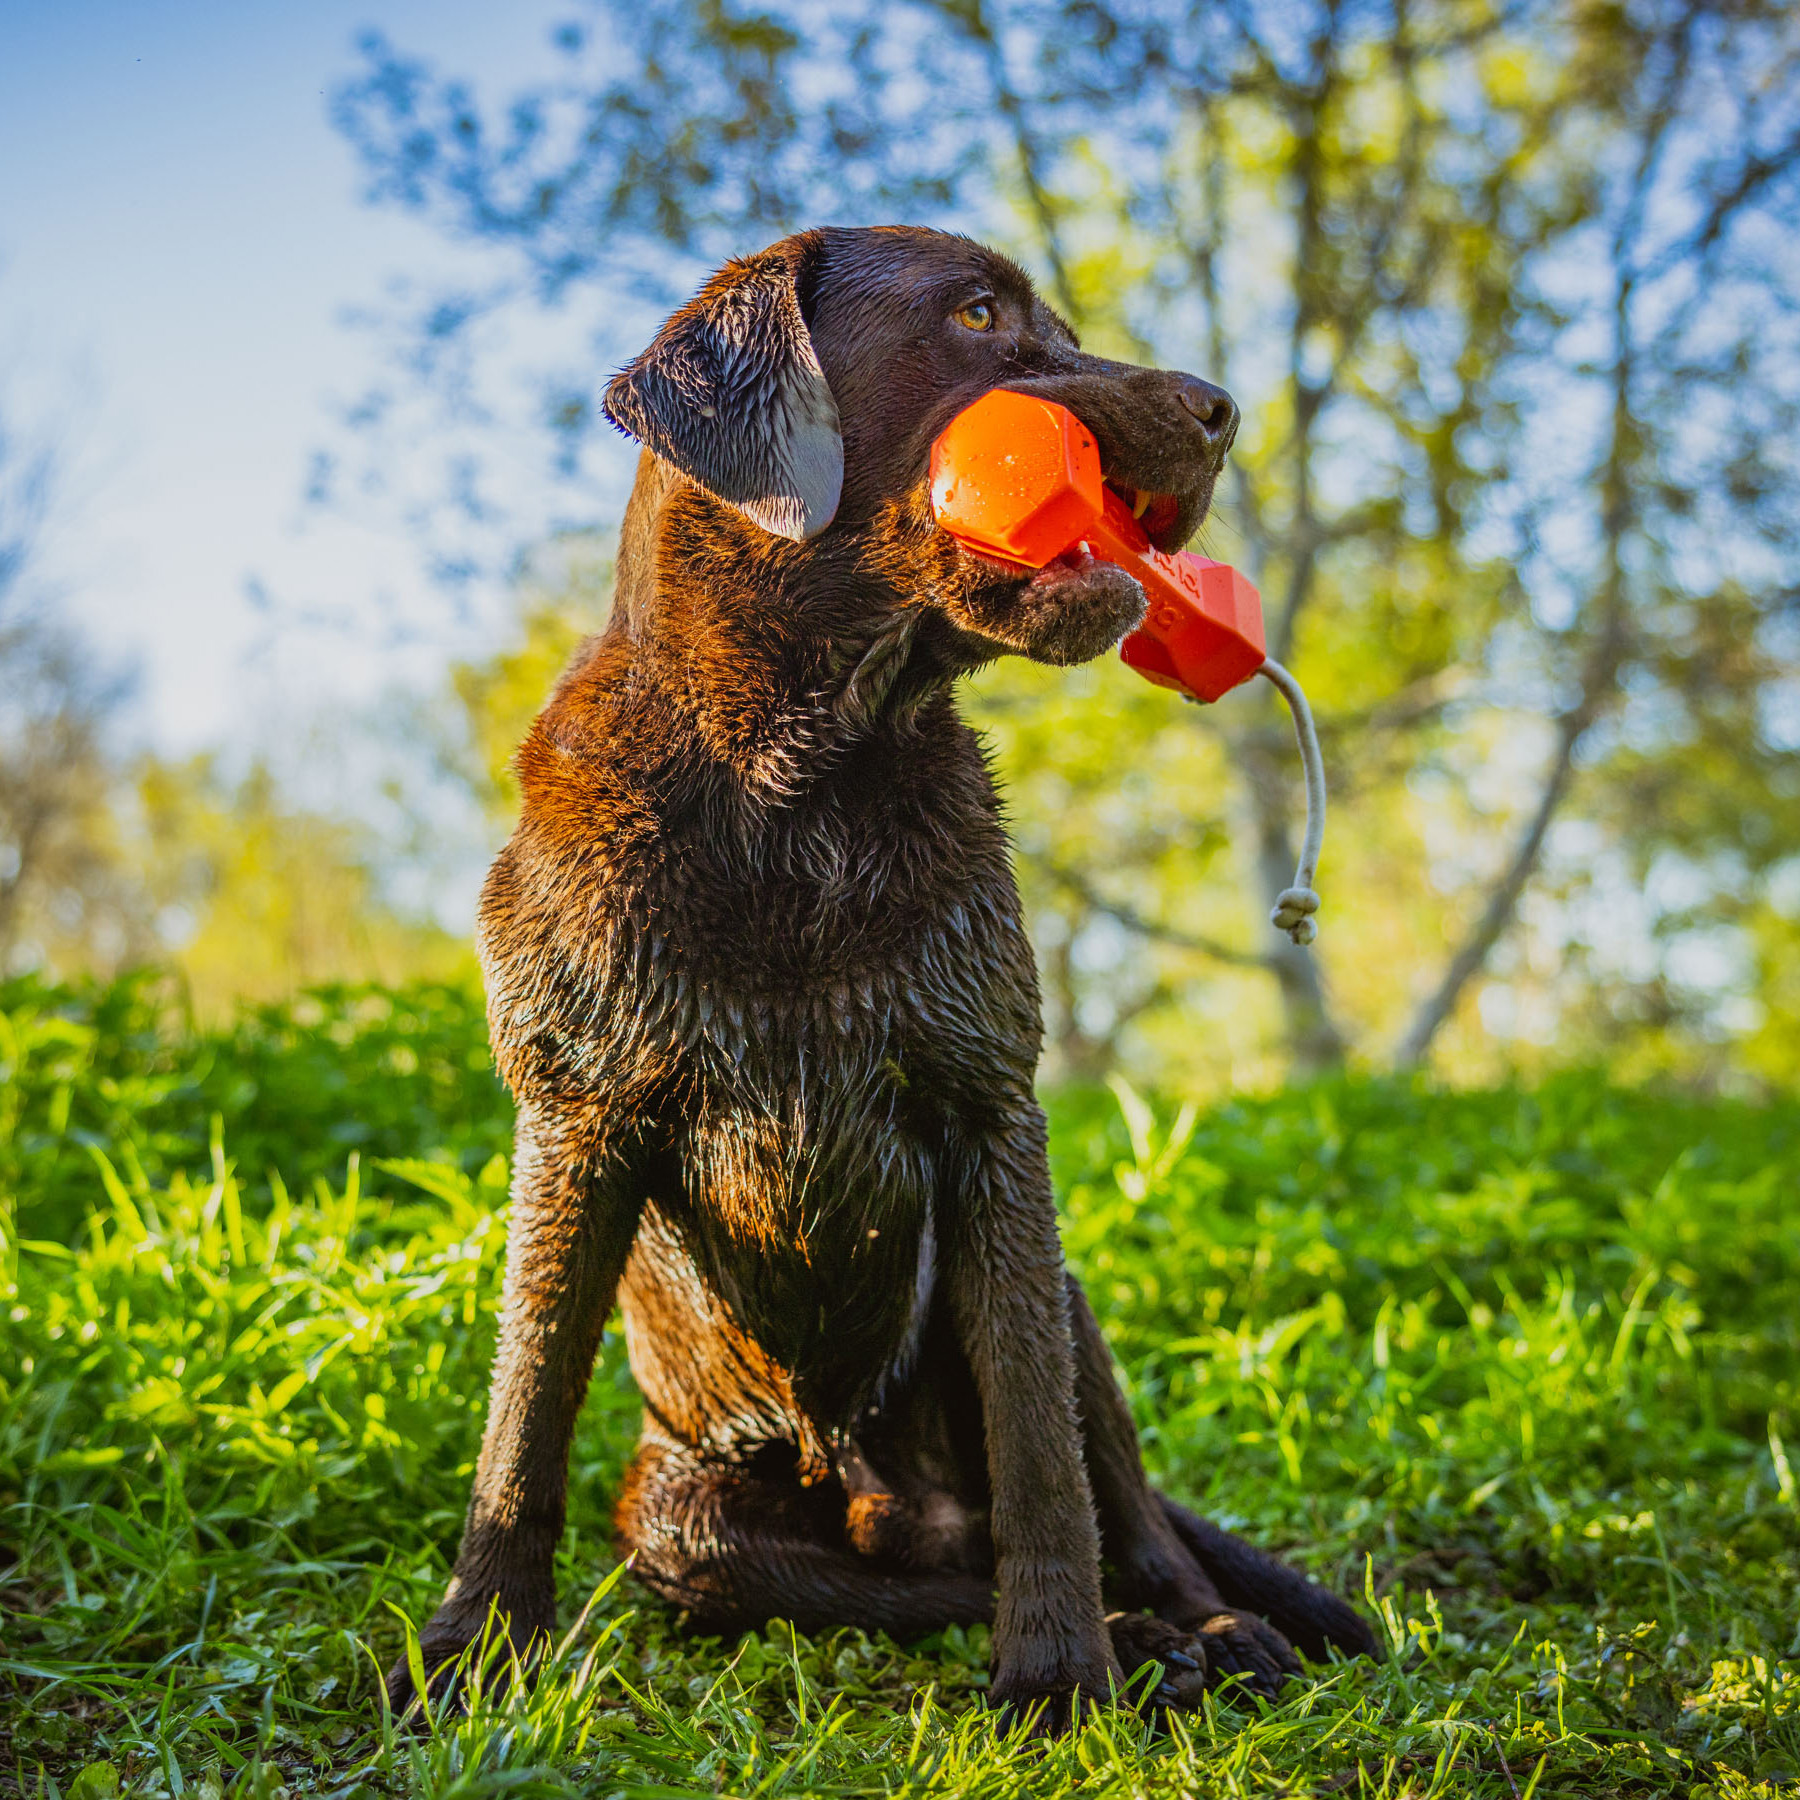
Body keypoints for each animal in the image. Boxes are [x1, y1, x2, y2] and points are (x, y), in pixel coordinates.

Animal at [390, 225, 1375, 1728]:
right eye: (974, 315)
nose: (1221, 407)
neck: (797, 789)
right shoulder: (576, 1121)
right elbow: (524, 1414)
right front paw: (474, 1646)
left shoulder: (988, 1116)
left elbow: (1042, 1462)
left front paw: (1057, 1676)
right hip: (688, 1518)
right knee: (904, 1586)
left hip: (1072, 1309)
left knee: (1131, 1526)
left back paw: (1193, 1630)